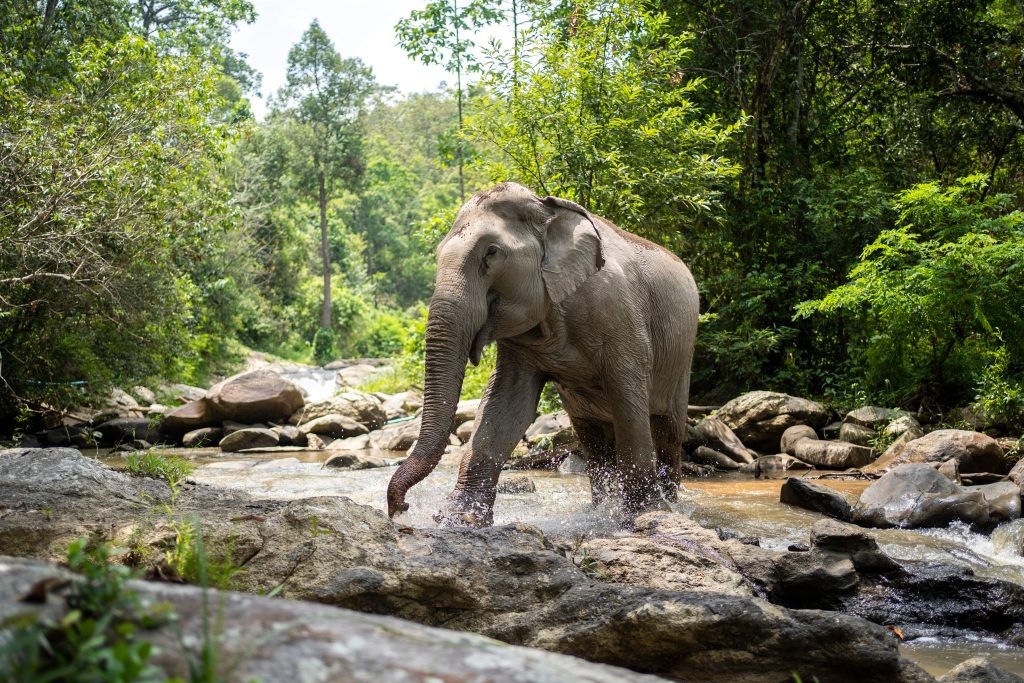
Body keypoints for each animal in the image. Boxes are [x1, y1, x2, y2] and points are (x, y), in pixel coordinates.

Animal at [386, 182, 699, 527]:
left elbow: (627, 395)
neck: (547, 209)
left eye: (491, 253)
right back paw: (601, 508)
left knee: (668, 429)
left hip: (682, 358)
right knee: (592, 436)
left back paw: (670, 505)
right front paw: (460, 519)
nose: (400, 508)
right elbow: (507, 404)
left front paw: (643, 513)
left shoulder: (619, 315)